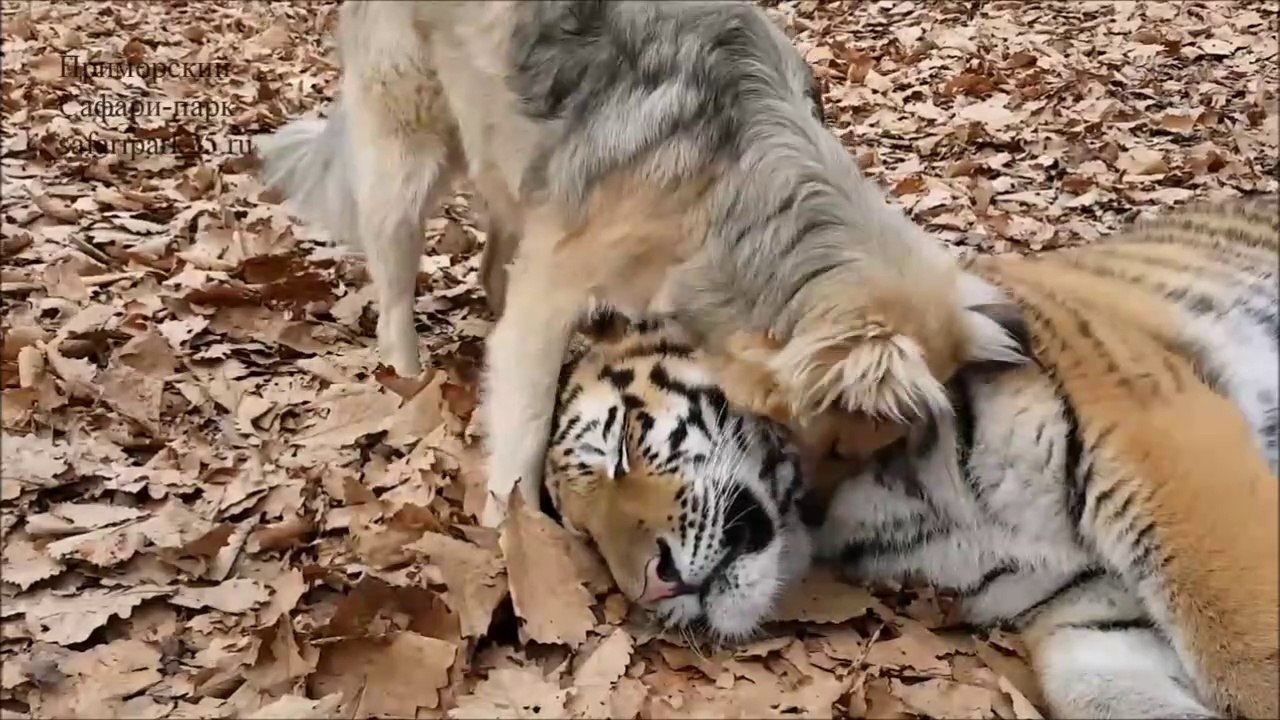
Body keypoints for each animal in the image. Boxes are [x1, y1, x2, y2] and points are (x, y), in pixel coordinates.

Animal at [541, 196, 1280, 720]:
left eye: (621, 444)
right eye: (582, 534)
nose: (651, 587)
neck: (861, 502)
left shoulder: (1159, 435)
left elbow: (1244, 648)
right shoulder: (1087, 608)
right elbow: (1104, 685)